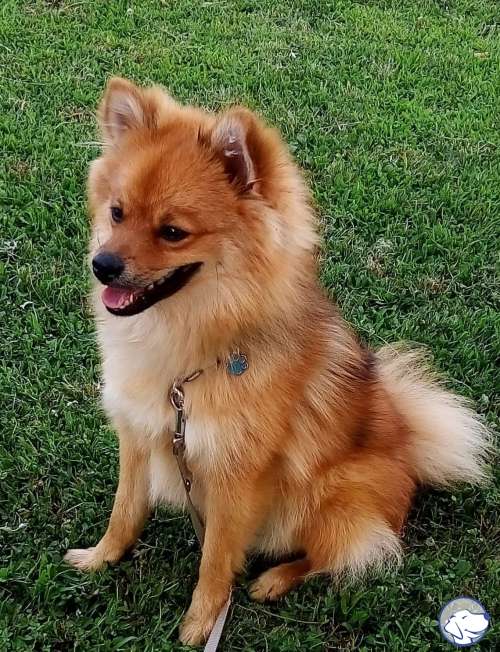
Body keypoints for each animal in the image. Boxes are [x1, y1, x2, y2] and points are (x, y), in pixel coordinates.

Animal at [65, 78, 490, 646]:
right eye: (116, 213)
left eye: (173, 232)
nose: (103, 265)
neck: (186, 354)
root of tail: (410, 453)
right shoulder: (139, 436)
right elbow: (124, 512)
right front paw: (100, 559)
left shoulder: (233, 477)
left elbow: (215, 559)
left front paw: (199, 624)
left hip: (325, 496)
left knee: (345, 552)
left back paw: (276, 578)